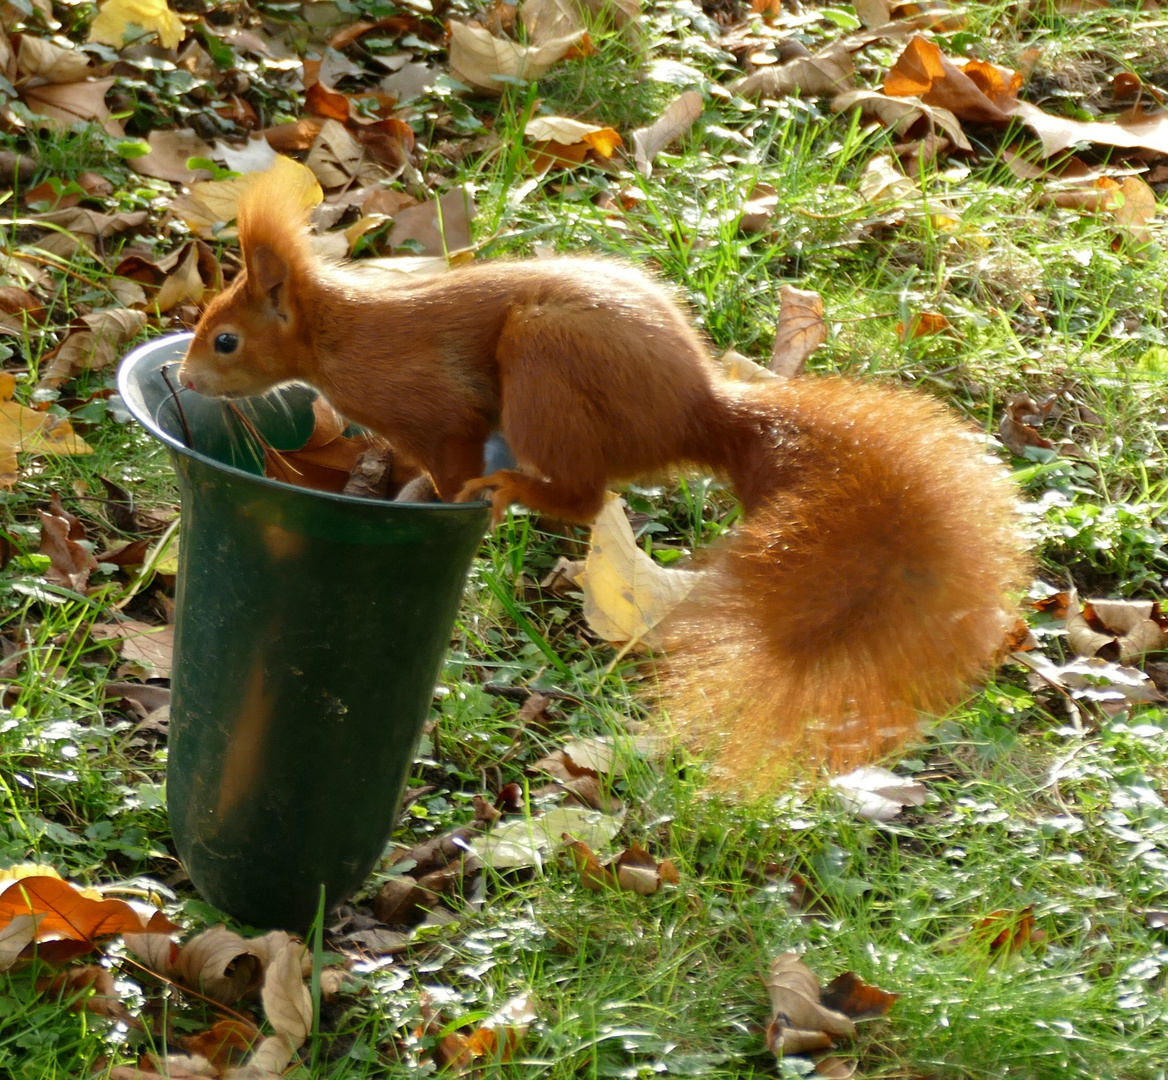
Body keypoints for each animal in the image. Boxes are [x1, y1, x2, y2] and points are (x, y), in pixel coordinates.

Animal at [177, 164, 1027, 789]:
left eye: (224, 340)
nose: (184, 381)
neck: (341, 334)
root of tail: (694, 413)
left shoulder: (437, 408)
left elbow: (450, 459)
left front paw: (434, 499)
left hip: (546, 361)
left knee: (586, 496)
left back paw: (512, 491)